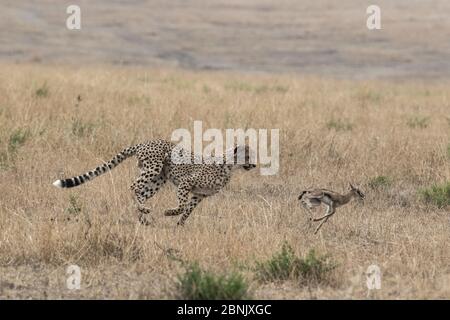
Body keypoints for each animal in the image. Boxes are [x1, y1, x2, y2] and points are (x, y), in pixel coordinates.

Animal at [51, 139, 256, 225]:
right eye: (247, 155)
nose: (254, 164)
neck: (228, 166)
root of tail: (145, 142)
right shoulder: (186, 183)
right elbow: (182, 205)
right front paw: (169, 213)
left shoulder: (199, 195)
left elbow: (188, 210)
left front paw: (180, 224)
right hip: (153, 169)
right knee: (133, 187)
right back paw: (143, 211)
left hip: (158, 179)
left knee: (140, 193)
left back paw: (143, 216)